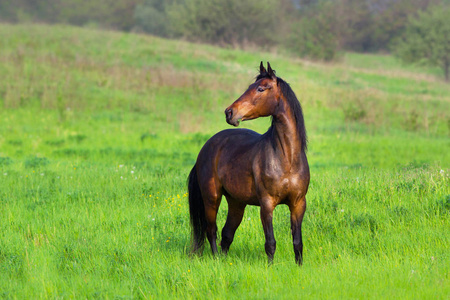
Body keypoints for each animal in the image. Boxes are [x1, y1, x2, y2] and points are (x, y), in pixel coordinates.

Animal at [186, 61, 310, 264]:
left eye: (260, 88)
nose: (229, 112)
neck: (287, 159)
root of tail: (207, 147)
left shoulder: (298, 204)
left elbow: (297, 243)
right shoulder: (267, 204)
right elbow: (270, 243)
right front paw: (270, 268)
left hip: (236, 203)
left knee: (226, 234)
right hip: (212, 197)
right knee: (211, 231)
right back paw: (216, 260)